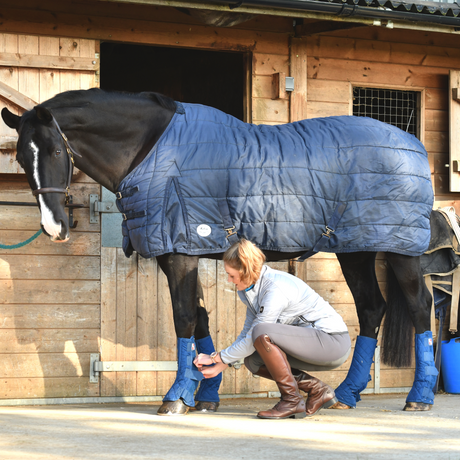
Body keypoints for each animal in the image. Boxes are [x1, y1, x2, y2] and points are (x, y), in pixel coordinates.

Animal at [0, 88, 438, 416]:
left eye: (56, 152)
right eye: (21, 156)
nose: (54, 227)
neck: (154, 151)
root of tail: (410, 143)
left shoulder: (180, 252)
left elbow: (184, 318)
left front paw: (176, 398)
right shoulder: (177, 252)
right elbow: (201, 320)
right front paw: (205, 393)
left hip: (398, 251)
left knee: (419, 308)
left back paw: (419, 397)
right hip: (357, 249)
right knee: (371, 309)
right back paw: (346, 394)